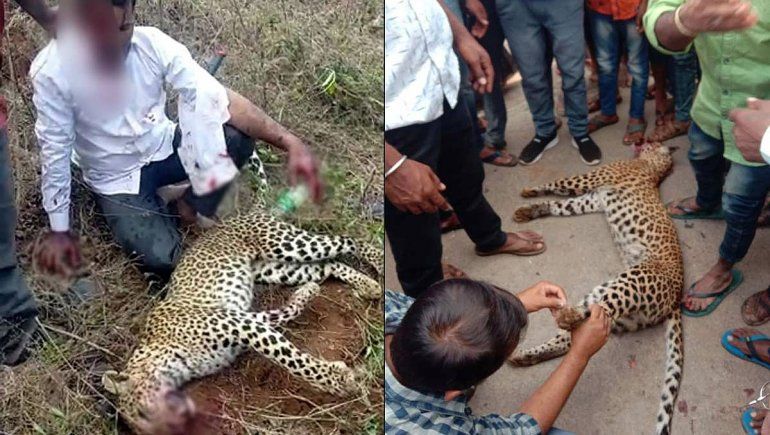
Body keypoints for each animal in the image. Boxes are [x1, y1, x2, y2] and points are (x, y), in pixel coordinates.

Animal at [100, 211, 383, 434]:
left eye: (143, 413)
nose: (172, 427)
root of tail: (242, 214)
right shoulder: (247, 320)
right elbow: (287, 314)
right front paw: (307, 293)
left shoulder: (240, 324)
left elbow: (290, 359)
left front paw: (337, 380)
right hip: (278, 269)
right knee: (328, 264)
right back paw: (366, 285)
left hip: (289, 244)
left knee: (347, 240)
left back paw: (378, 261)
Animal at [508, 142, 684, 435]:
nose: (644, 142)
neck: (652, 167)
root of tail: (678, 298)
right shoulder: (591, 199)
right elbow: (559, 204)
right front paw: (529, 210)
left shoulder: (592, 180)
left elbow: (558, 184)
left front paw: (529, 191)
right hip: (619, 310)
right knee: (571, 336)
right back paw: (525, 356)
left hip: (629, 282)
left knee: (588, 314)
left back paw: (563, 316)